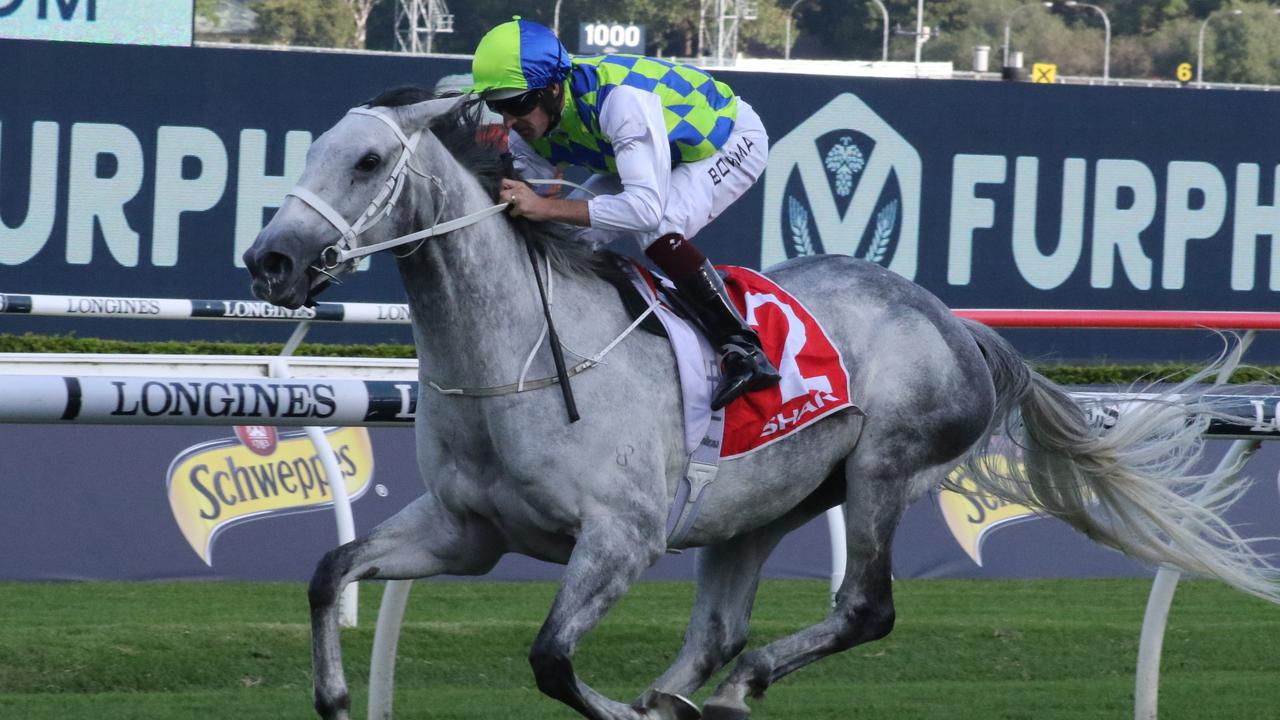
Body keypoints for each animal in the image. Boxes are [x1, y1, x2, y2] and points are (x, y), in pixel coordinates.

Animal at [244, 89, 1274, 717]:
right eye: (317, 150)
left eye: (368, 162)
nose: (271, 260)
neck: (522, 356)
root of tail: (950, 320)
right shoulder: (468, 534)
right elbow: (330, 571)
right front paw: (334, 695)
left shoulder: (621, 540)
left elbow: (551, 660)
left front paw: (619, 707)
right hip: (762, 504)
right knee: (721, 628)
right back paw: (685, 691)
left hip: (883, 469)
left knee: (865, 608)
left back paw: (737, 688)